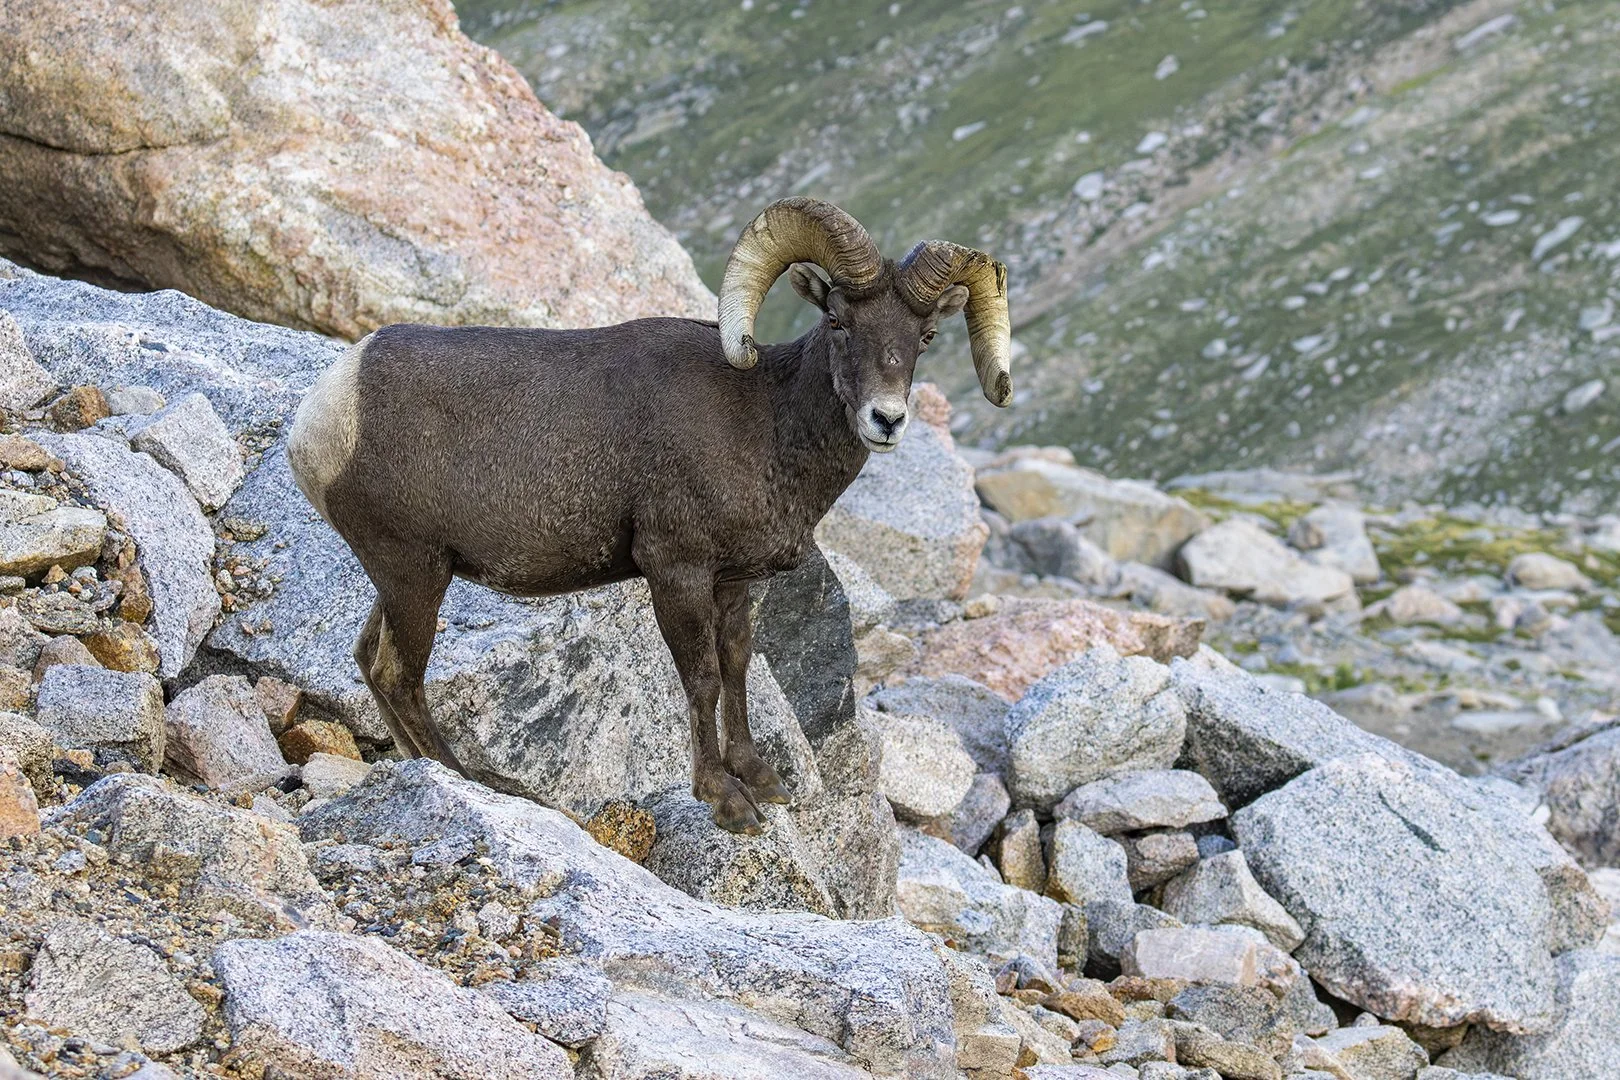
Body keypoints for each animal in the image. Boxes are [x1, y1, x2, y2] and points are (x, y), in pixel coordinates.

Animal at [287, 197, 1012, 833]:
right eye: (838, 321)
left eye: (924, 336)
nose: (886, 419)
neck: (763, 422)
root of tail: (322, 413)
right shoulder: (676, 573)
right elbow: (702, 679)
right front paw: (726, 802)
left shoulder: (735, 584)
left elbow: (736, 666)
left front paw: (761, 779)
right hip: (414, 575)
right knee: (398, 675)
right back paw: (457, 778)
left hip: (406, 578)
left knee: (368, 659)